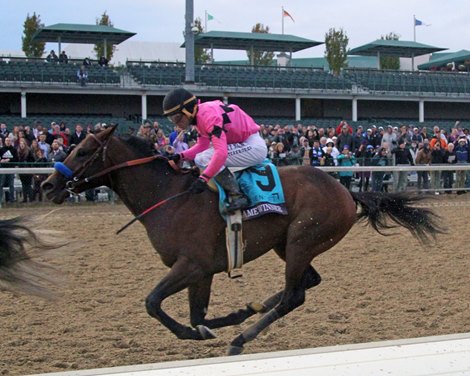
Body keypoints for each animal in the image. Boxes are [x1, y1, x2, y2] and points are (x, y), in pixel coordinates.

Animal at [40, 126, 440, 356]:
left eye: (81, 151)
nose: (47, 184)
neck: (169, 196)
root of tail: (346, 190)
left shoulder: (191, 265)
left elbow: (153, 303)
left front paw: (196, 333)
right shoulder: (201, 272)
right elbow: (197, 313)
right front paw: (225, 318)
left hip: (301, 240)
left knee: (295, 295)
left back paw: (241, 339)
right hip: (289, 245)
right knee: (307, 283)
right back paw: (254, 309)